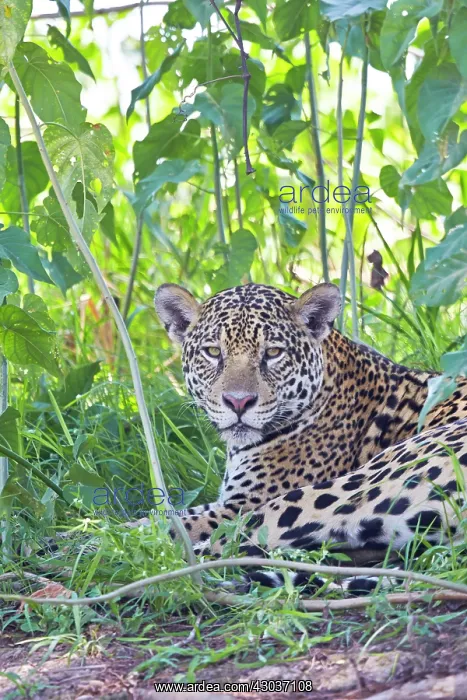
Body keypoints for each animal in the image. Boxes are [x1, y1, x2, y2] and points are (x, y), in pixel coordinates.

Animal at [153, 281, 467, 591]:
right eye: (213, 352)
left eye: (273, 353)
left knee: (225, 548)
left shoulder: (239, 506)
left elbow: (168, 526)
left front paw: (143, 541)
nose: (238, 402)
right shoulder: (227, 501)